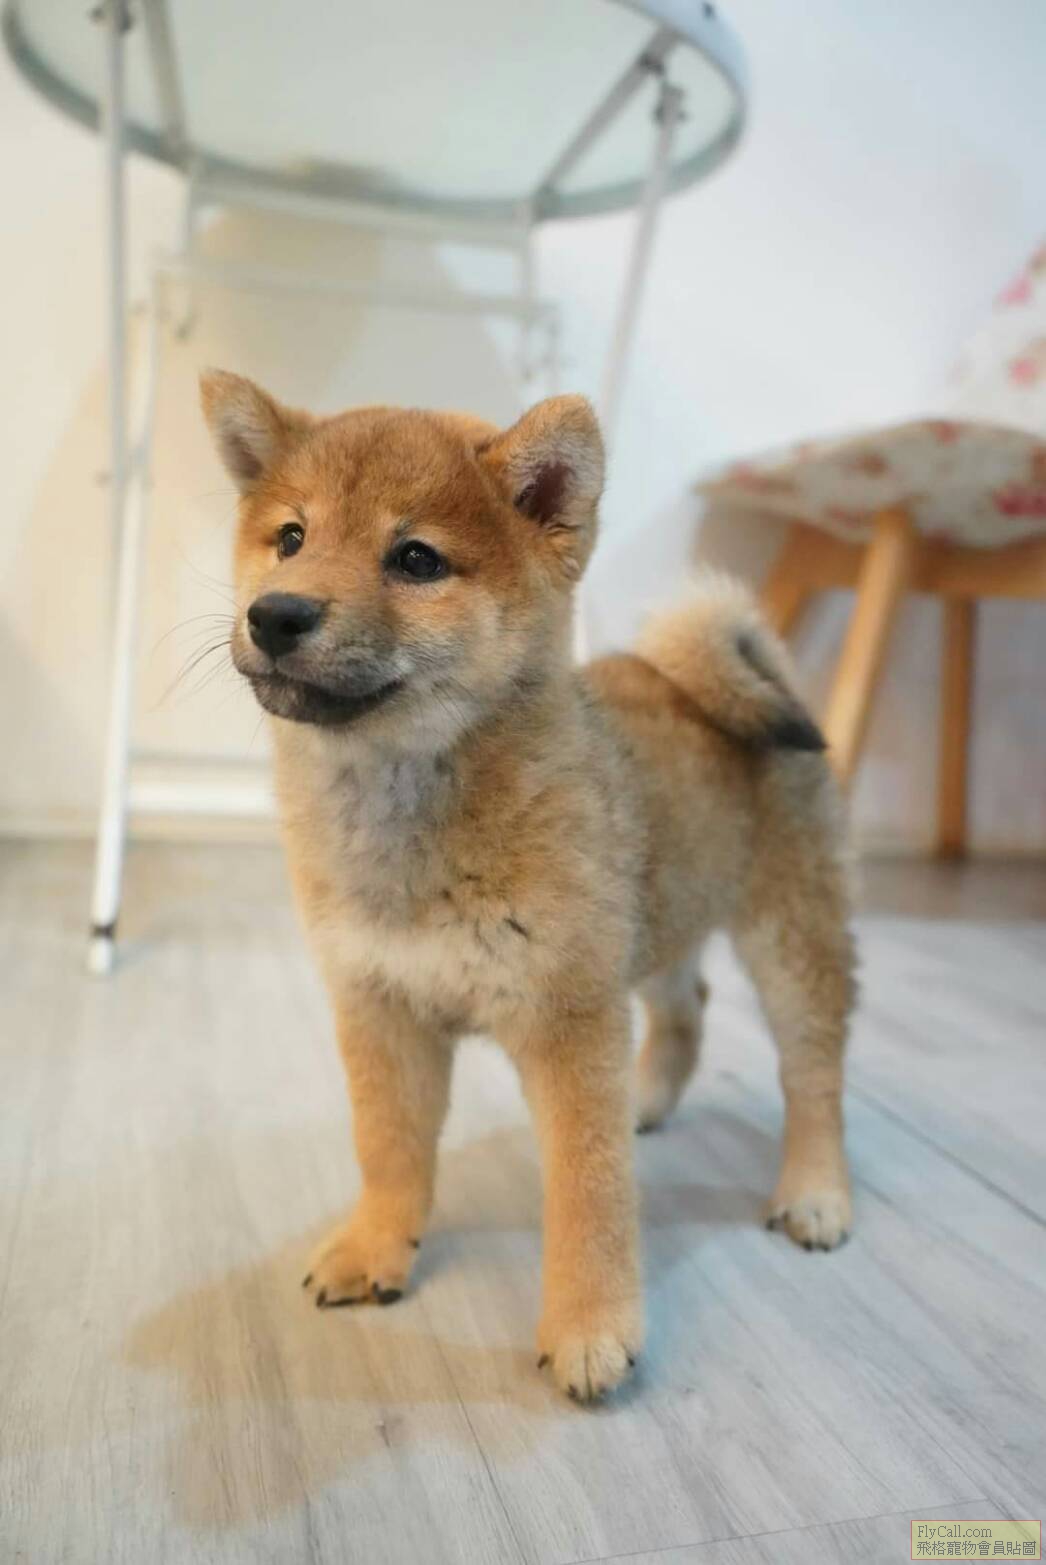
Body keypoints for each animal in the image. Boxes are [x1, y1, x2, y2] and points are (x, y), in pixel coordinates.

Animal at [200, 372, 856, 1402]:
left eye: (415, 557)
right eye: (291, 538)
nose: (277, 613)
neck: (406, 809)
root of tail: (750, 663)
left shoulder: (566, 1018)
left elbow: (590, 1192)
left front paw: (591, 1326)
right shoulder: (382, 1004)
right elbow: (388, 1148)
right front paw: (375, 1246)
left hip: (792, 936)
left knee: (813, 1073)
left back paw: (817, 1191)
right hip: (654, 917)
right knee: (688, 1004)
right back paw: (650, 1098)